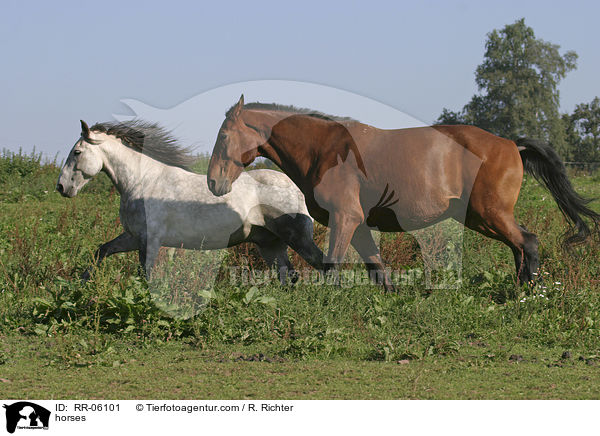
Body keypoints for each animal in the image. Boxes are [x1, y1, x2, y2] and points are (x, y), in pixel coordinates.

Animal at [57, 119, 324, 282]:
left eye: (77, 152)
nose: (61, 187)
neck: (142, 181)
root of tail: (295, 188)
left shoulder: (149, 240)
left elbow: (146, 274)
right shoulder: (133, 236)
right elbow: (101, 251)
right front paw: (81, 284)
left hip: (296, 237)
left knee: (324, 265)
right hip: (270, 244)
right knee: (288, 275)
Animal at [207, 95, 600, 290]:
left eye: (224, 135)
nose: (213, 182)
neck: (324, 150)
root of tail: (510, 145)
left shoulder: (345, 218)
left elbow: (332, 264)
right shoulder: (358, 224)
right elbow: (377, 269)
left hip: (490, 215)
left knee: (527, 244)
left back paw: (525, 295)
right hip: (483, 218)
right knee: (519, 248)